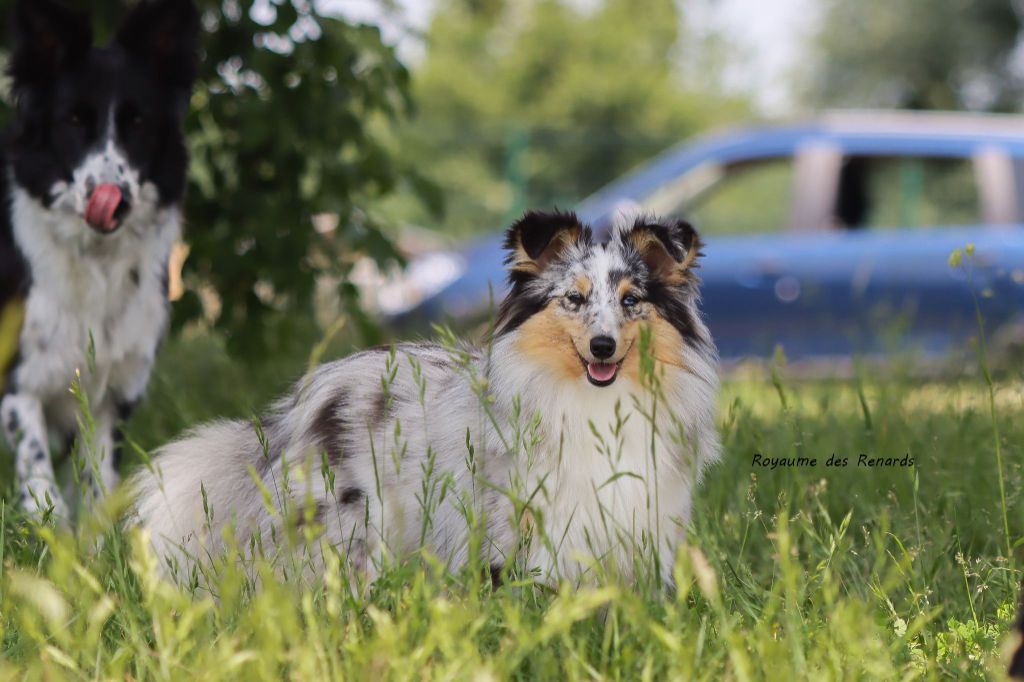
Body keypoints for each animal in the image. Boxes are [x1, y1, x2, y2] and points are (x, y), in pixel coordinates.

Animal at [0, 0, 197, 512]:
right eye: (73, 121)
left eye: (138, 124)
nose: (115, 200)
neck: (95, 262)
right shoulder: (20, 381)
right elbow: (39, 478)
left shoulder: (113, 395)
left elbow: (97, 483)